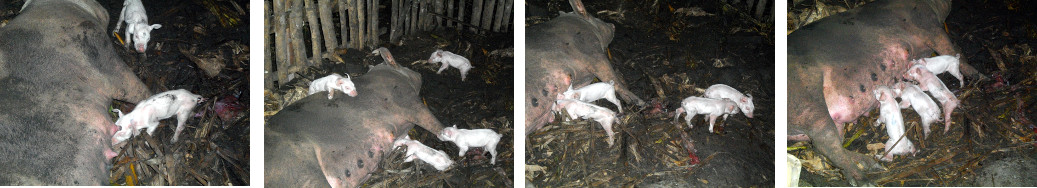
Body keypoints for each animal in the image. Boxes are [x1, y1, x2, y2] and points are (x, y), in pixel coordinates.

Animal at [263, 48, 445, 188]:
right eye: (404, 66)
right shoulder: (404, 97)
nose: (419, 73)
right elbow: (429, 119)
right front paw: (446, 134)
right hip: (297, 168)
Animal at [788, 0, 983, 183]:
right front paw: (980, 75)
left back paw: (871, 165)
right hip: (807, 103)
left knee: (828, 147)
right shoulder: (927, 24)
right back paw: (864, 178)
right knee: (826, 145)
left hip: (829, 120)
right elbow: (950, 47)